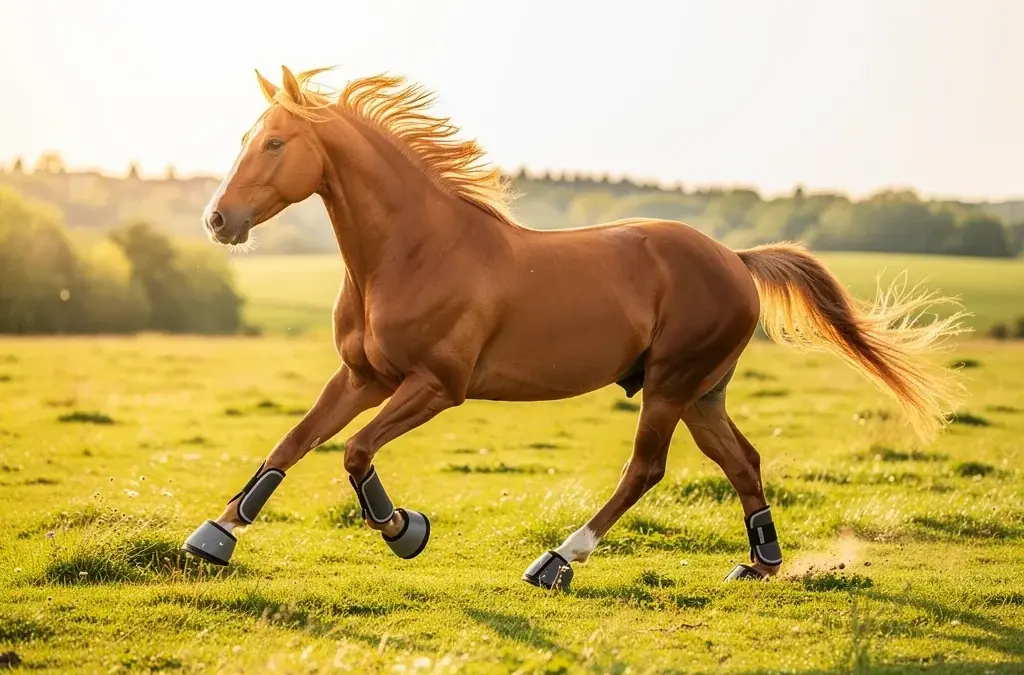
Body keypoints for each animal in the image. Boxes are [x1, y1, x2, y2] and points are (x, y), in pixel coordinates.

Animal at [181, 65, 967, 587]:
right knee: (742, 460)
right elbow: (293, 441)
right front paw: (215, 534)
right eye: (248, 136)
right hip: (702, 392)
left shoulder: (436, 385)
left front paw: (405, 530)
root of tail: (736, 260)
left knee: (646, 469)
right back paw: (759, 562)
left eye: (275, 143)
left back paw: (557, 560)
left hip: (671, 385)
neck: (413, 251)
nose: (218, 219)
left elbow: (353, 452)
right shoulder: (362, 375)